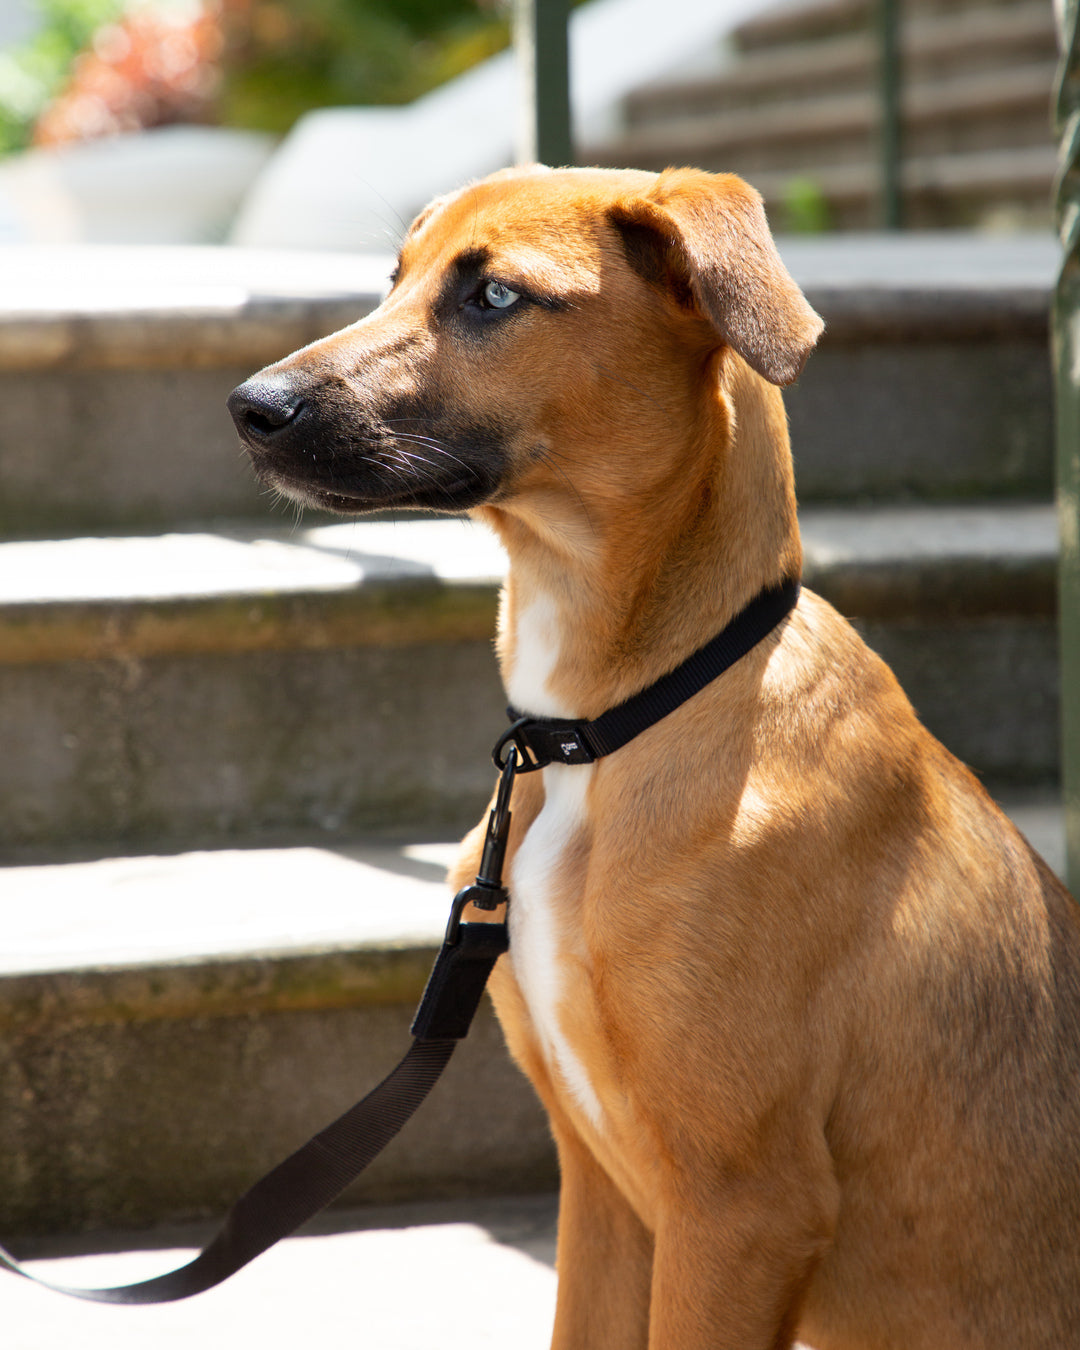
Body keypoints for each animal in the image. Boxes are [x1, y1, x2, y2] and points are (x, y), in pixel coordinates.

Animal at [228, 168, 1080, 1350]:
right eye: (392, 279)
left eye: (495, 295)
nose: (249, 408)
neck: (599, 733)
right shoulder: (599, 1181)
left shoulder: (741, 1203)